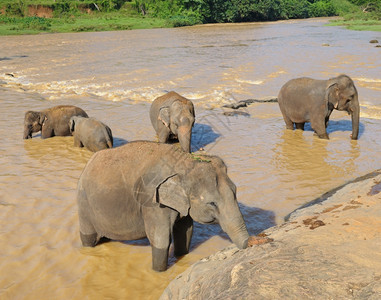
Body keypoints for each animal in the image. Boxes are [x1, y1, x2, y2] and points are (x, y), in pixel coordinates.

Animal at [77, 141, 249, 272]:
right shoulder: (153, 201)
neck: (185, 161)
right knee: (88, 237)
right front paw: (158, 272)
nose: (252, 241)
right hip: (84, 204)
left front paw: (181, 255)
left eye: (235, 191)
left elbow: (185, 232)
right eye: (212, 203)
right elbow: (161, 239)